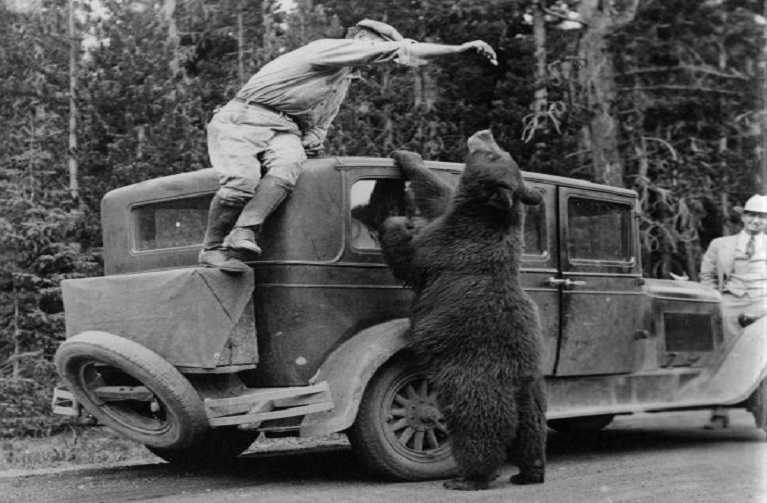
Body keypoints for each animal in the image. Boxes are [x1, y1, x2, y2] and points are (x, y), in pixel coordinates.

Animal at [378, 130, 544, 492]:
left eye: (495, 155)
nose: (484, 133)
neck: (482, 215)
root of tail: (513, 383)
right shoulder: (454, 218)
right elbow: (437, 193)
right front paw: (408, 156)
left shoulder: (448, 247)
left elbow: (410, 257)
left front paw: (395, 222)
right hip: (531, 393)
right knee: (532, 431)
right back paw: (528, 472)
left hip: (471, 382)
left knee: (477, 429)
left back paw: (469, 478)